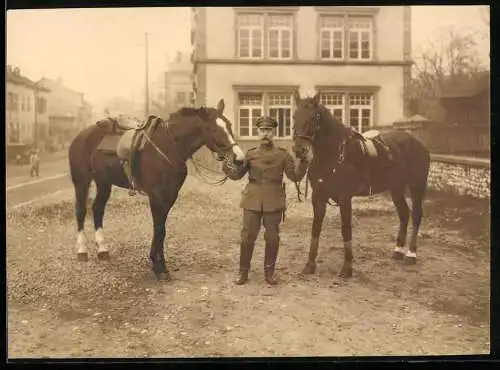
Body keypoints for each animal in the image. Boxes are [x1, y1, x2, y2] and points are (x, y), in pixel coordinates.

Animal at [67, 99, 245, 278]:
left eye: (229, 125)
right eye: (213, 129)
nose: (239, 159)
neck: (168, 147)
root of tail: (80, 137)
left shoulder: (170, 195)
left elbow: (161, 230)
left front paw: (160, 265)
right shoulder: (156, 196)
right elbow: (159, 228)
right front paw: (158, 267)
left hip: (104, 182)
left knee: (98, 209)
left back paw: (102, 249)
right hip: (81, 181)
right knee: (81, 211)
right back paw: (82, 250)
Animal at [292, 92, 430, 278]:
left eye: (314, 117)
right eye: (294, 116)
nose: (299, 150)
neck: (333, 155)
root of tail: (419, 143)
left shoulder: (344, 198)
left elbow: (346, 229)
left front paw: (347, 268)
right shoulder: (318, 198)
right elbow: (315, 229)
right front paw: (310, 265)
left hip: (416, 186)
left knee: (416, 215)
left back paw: (411, 254)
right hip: (396, 188)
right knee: (403, 214)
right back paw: (398, 251)